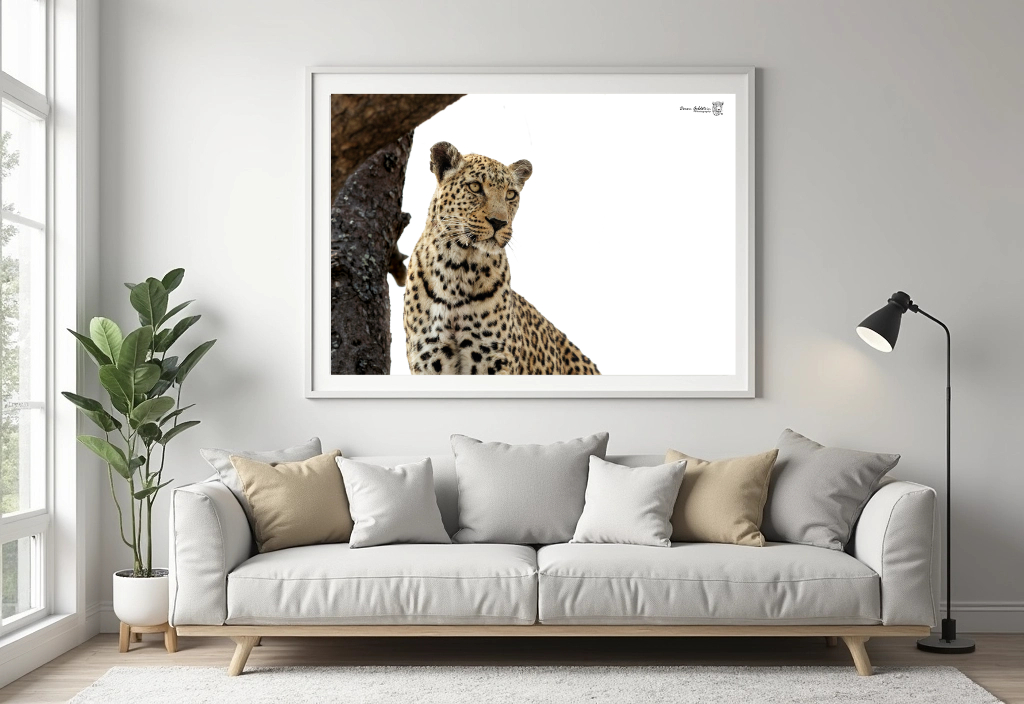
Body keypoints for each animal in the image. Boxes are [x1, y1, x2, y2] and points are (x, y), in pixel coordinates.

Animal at [403, 141, 599, 376]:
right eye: (475, 187)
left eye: (511, 194)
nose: (499, 222)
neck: (458, 268)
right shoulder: (430, 360)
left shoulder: (495, 360)